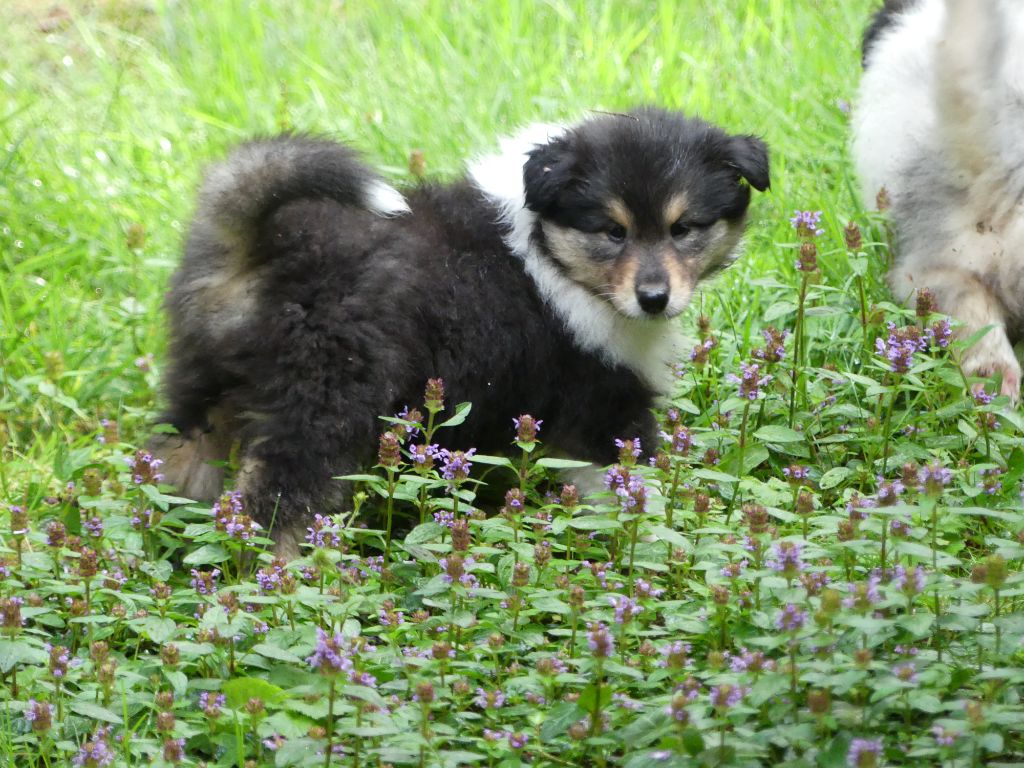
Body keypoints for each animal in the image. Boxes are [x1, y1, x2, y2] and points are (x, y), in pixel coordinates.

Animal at [153, 107, 769, 555]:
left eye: (684, 228)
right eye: (612, 232)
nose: (653, 299)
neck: (549, 245)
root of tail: (268, 242)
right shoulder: (604, 405)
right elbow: (630, 482)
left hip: (205, 390)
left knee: (183, 464)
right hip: (323, 403)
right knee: (281, 502)